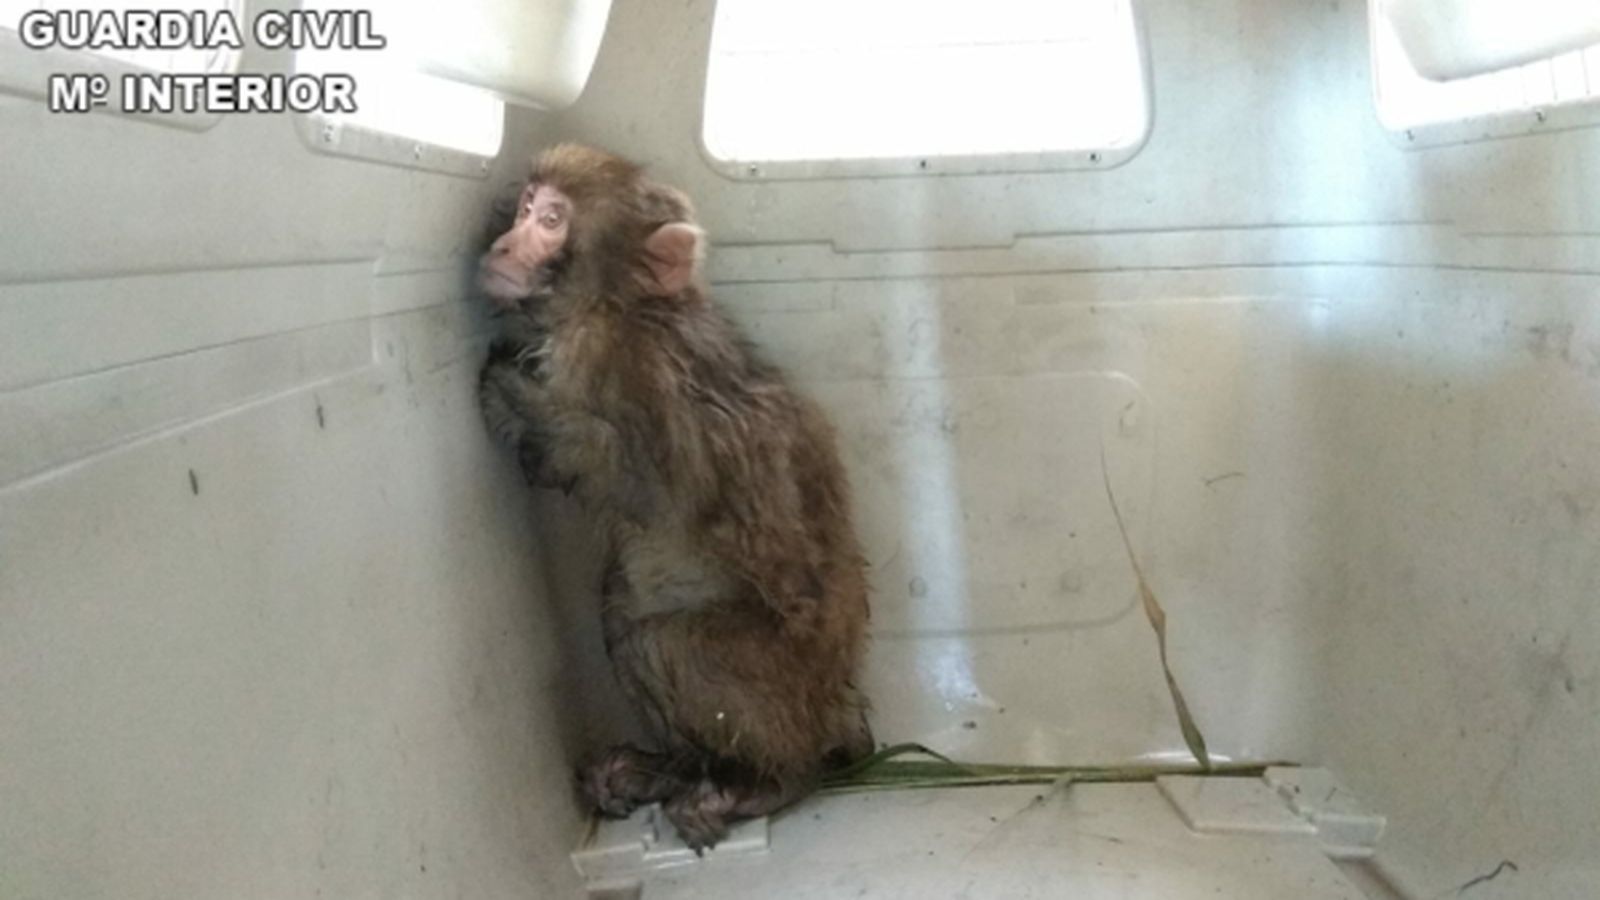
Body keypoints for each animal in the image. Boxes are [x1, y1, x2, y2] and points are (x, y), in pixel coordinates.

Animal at [476, 144, 873, 850]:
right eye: (525, 207)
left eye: (551, 220)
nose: (503, 242)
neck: (625, 306)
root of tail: (835, 706)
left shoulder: (611, 359)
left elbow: (641, 484)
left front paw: (513, 397)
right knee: (623, 612)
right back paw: (669, 770)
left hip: (774, 680)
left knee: (659, 639)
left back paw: (774, 782)